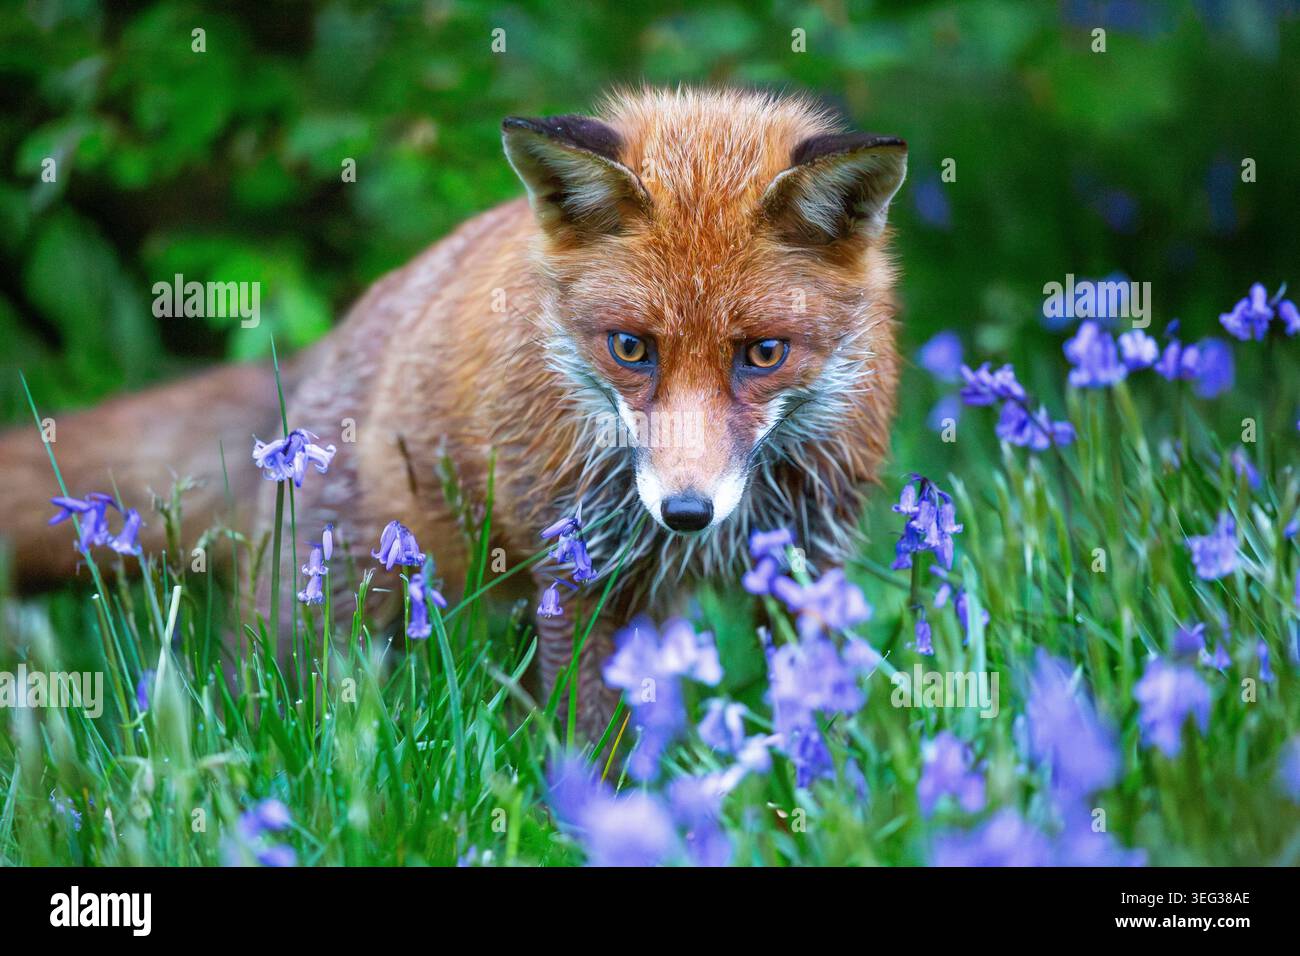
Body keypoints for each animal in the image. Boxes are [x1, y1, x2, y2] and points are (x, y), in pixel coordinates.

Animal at [0, 88, 906, 736]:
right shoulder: (577, 572)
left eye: (764, 354)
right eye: (630, 348)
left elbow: (813, 703)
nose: (687, 514)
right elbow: (592, 742)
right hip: (329, 614)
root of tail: (342, 332)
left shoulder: (807, 557)